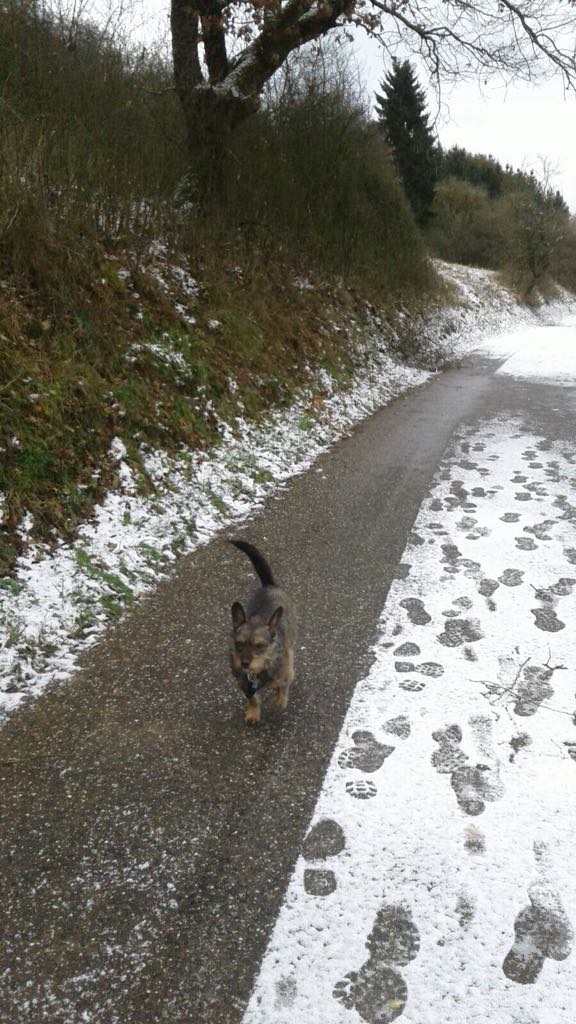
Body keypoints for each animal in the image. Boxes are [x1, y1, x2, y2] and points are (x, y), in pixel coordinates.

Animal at [229, 539, 296, 725]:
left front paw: (278, 701)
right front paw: (253, 713)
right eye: (239, 643)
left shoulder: (283, 676)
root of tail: (269, 585)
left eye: (259, 646)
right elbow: (253, 698)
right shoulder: (244, 684)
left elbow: (282, 689)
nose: (244, 663)